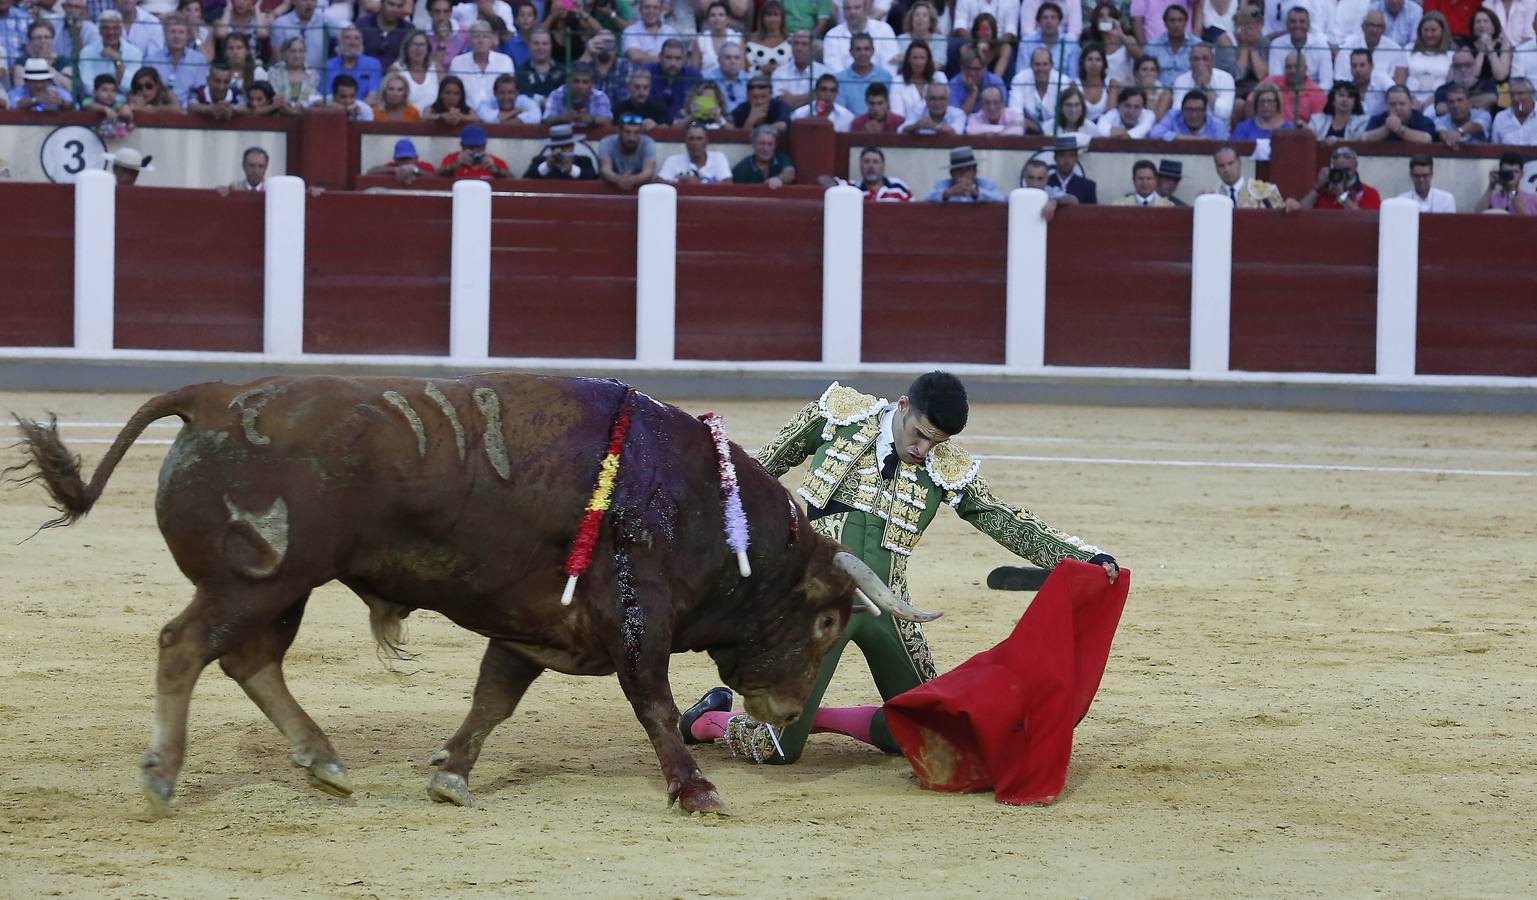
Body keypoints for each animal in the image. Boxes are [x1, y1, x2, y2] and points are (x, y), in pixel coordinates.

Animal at [9, 371, 934, 810]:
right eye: (826, 619)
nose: (786, 714)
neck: (708, 505)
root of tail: (214, 395)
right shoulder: (639, 617)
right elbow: (654, 703)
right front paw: (695, 789)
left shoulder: (540, 623)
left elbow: (494, 696)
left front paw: (450, 774)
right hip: (255, 579)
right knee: (186, 646)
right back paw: (164, 775)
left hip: (281, 586)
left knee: (249, 662)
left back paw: (324, 761)